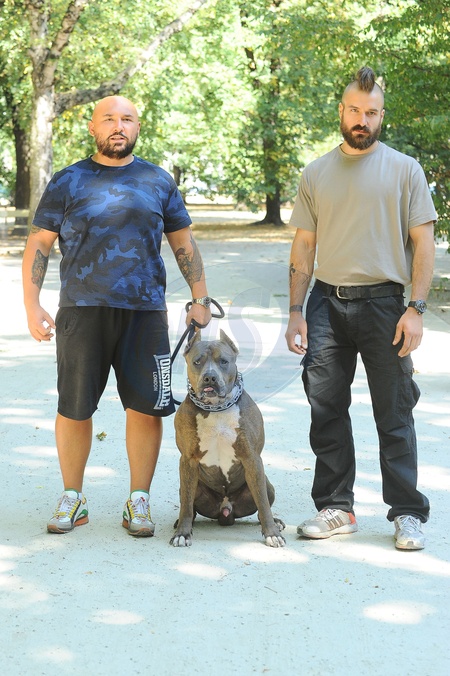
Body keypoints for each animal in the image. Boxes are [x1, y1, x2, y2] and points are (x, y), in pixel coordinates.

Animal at [170, 329, 285, 547]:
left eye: (223, 361)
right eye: (197, 361)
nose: (210, 377)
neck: (216, 408)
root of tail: (225, 511)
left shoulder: (252, 458)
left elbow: (263, 504)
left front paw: (272, 533)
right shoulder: (187, 460)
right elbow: (187, 506)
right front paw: (183, 533)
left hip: (268, 485)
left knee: (263, 503)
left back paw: (275, 521)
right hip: (188, 486)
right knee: (188, 504)